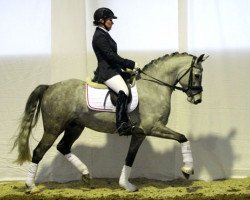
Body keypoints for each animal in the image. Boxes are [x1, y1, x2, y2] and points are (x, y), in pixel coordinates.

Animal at [12, 52, 207, 193]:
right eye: (197, 75)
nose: (197, 99)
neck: (155, 87)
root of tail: (49, 87)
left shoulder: (140, 133)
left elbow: (130, 157)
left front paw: (126, 185)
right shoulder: (153, 128)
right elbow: (182, 137)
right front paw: (187, 170)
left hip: (75, 126)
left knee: (63, 146)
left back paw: (85, 174)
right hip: (54, 127)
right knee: (39, 151)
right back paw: (31, 187)